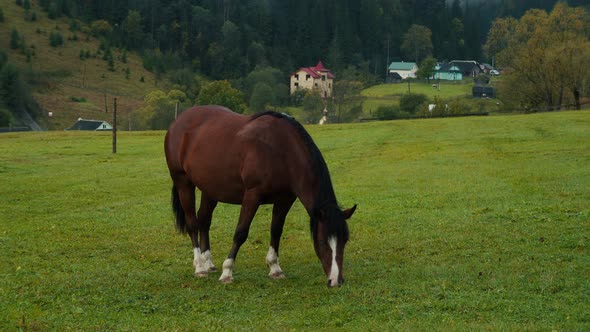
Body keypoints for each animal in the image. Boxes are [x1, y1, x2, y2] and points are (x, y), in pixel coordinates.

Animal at [163, 105, 356, 286]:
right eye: (323, 241)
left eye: (345, 240)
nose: (336, 281)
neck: (281, 150)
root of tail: (178, 122)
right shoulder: (252, 196)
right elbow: (241, 232)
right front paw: (227, 272)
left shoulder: (285, 199)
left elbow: (276, 230)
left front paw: (275, 268)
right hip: (183, 182)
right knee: (192, 223)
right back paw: (200, 266)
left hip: (210, 189)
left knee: (204, 220)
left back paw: (208, 262)